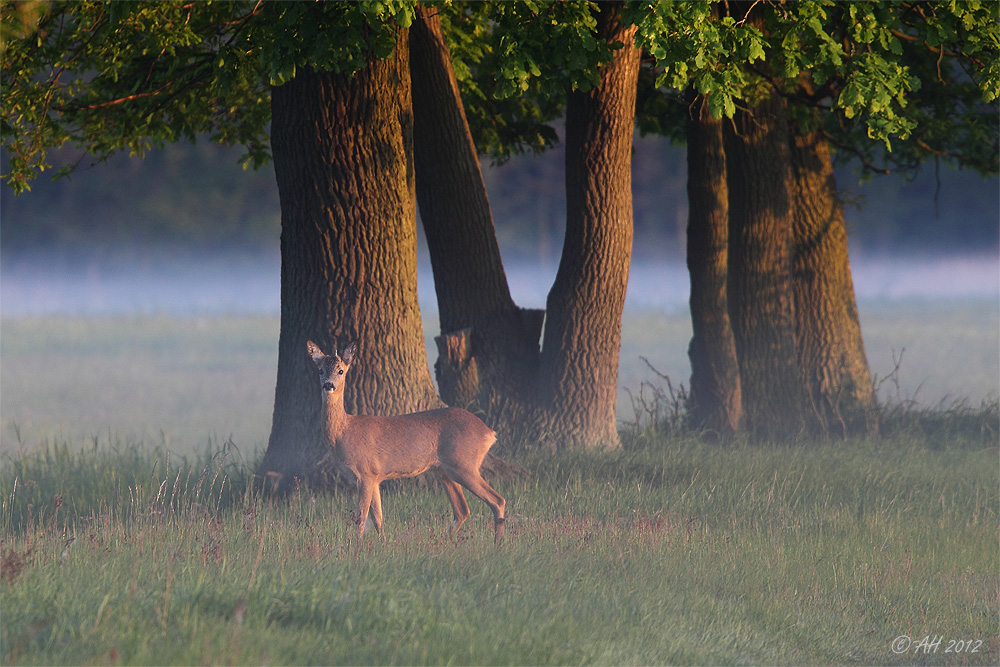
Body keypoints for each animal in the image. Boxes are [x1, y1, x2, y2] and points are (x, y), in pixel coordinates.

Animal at [306, 342, 508, 544]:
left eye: (341, 371)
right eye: (320, 370)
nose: (328, 384)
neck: (344, 432)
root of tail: (489, 432)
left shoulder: (365, 473)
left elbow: (361, 517)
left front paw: (357, 546)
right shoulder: (375, 476)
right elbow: (378, 517)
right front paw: (383, 543)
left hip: (464, 464)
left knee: (497, 500)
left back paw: (496, 544)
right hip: (444, 470)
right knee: (462, 510)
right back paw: (446, 542)